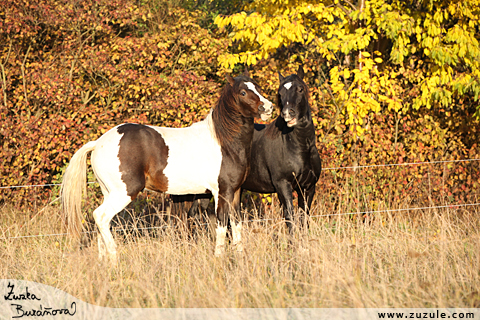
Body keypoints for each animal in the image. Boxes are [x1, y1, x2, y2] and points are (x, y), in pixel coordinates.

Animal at [59, 70, 274, 262]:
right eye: (243, 92)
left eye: (258, 87)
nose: (269, 107)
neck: (224, 142)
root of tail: (98, 143)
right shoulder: (222, 192)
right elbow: (222, 224)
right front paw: (219, 258)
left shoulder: (235, 192)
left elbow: (236, 224)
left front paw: (240, 257)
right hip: (124, 193)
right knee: (101, 216)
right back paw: (114, 258)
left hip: (109, 193)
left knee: (102, 223)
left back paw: (104, 261)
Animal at [171, 65, 320, 235]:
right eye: (280, 93)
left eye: (300, 89)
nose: (288, 114)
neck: (299, 147)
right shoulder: (283, 185)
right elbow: (290, 218)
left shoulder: (308, 188)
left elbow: (303, 219)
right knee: (194, 214)